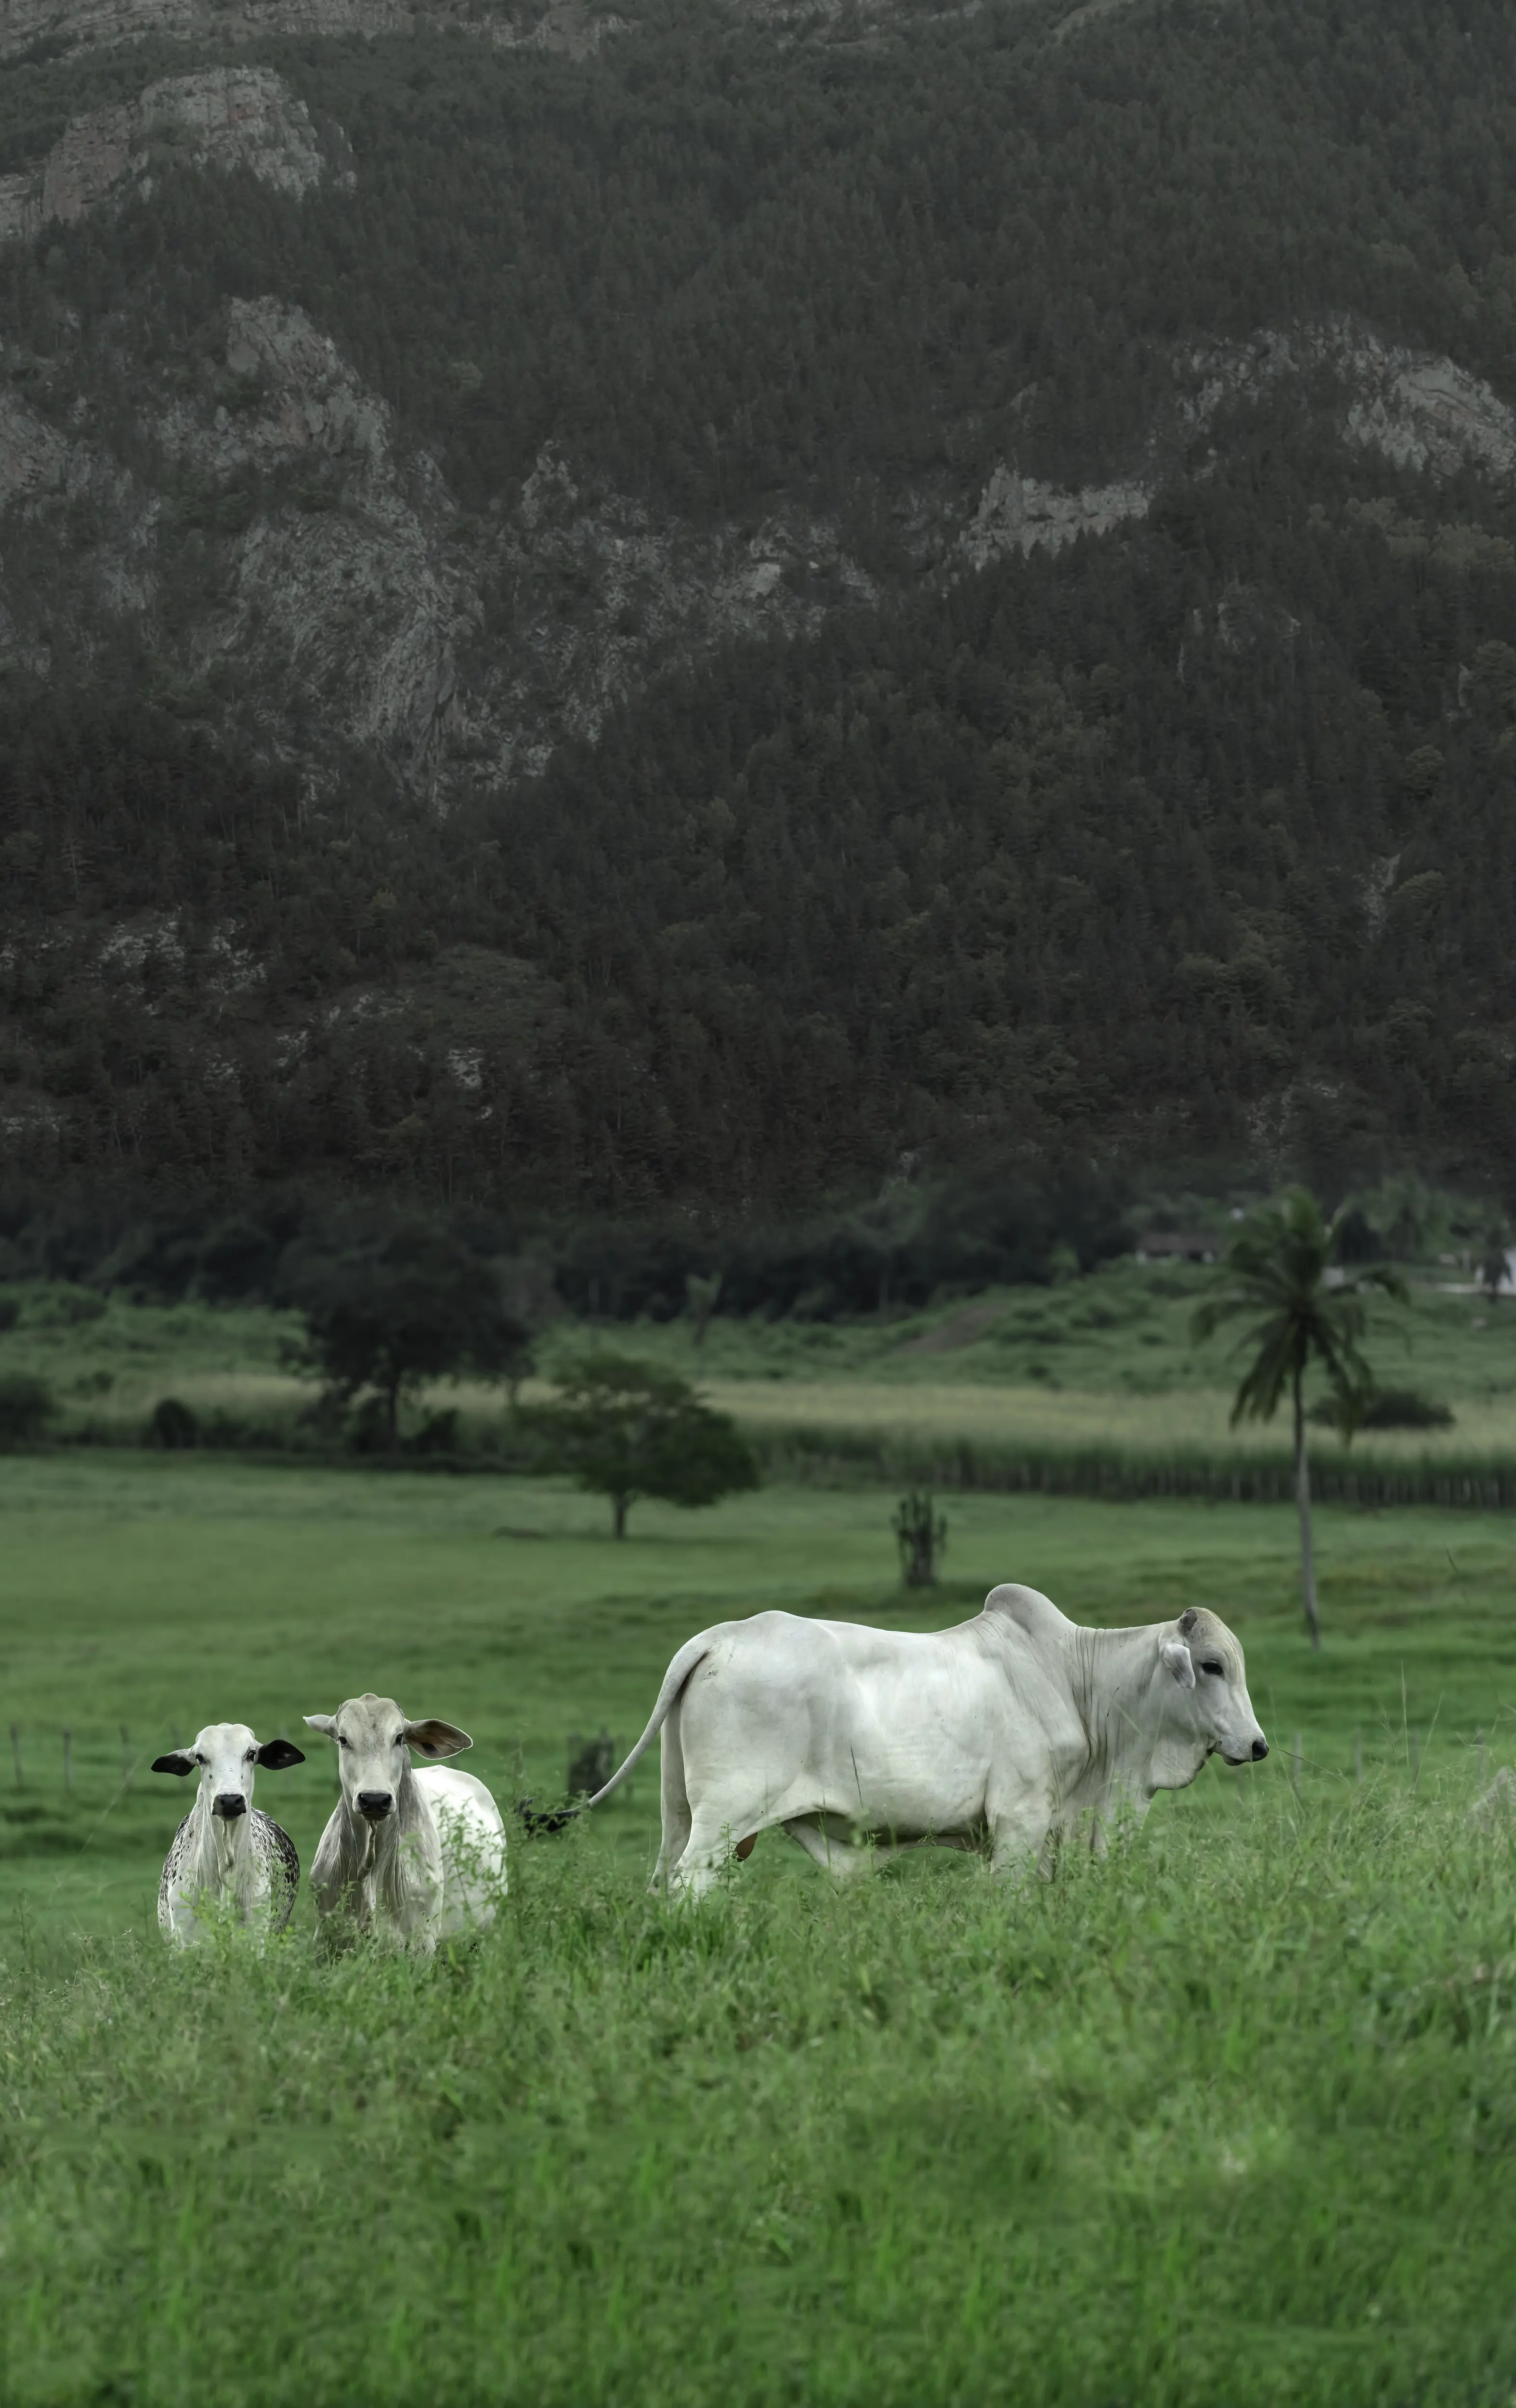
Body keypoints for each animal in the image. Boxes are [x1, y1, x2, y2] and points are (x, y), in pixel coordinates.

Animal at [575, 1588, 1267, 1897]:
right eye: (1211, 1665)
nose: (1258, 1745)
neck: (1077, 1683)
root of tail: (717, 1637)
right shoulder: (1019, 1820)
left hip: (678, 1811)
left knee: (663, 1878)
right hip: (725, 1815)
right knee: (689, 1882)